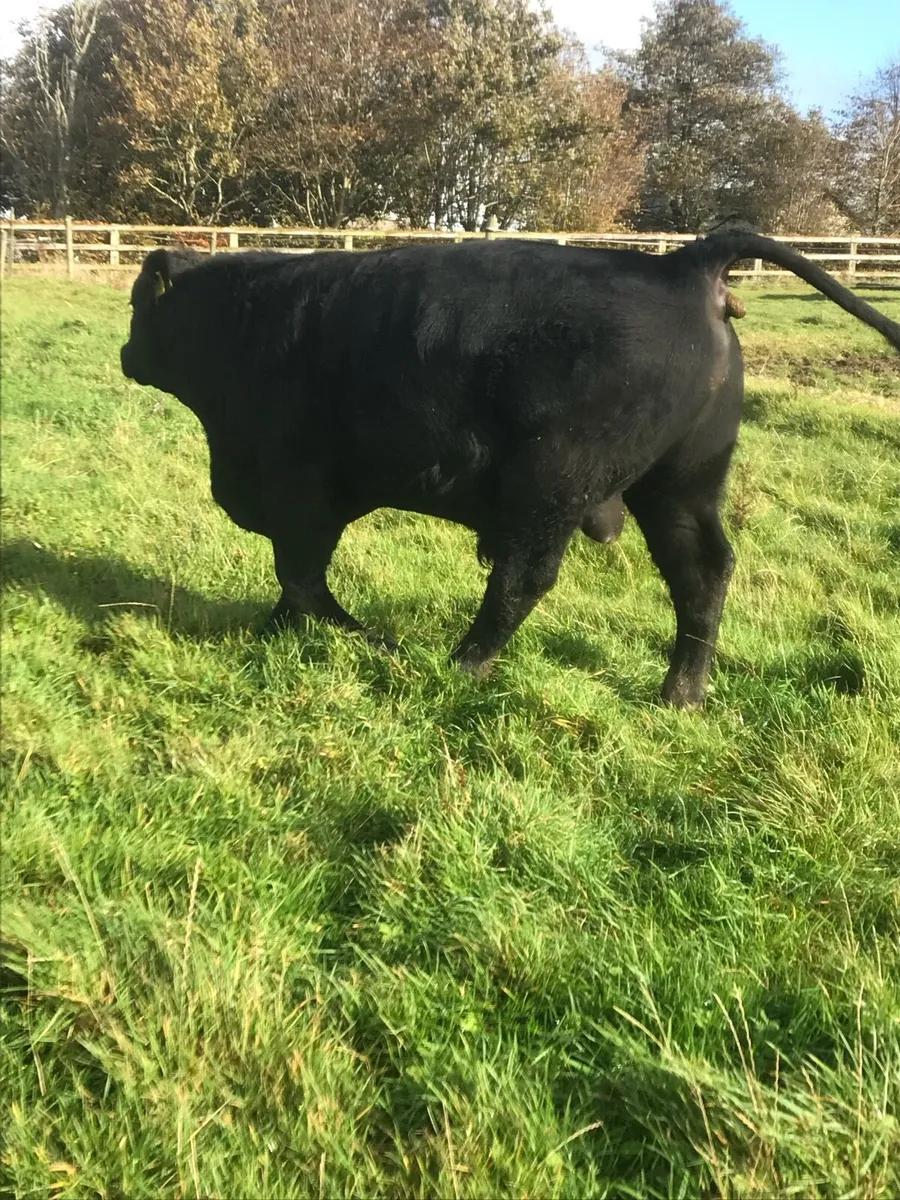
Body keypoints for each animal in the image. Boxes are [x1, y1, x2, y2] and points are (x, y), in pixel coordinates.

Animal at [120, 233, 900, 708]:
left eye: (135, 303)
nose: (126, 354)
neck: (249, 317)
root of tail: (681, 263)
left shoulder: (300, 490)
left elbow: (304, 578)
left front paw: (365, 638)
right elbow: (295, 585)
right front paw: (275, 632)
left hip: (554, 485)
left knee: (522, 580)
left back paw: (462, 664)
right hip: (680, 484)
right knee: (701, 574)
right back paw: (680, 695)